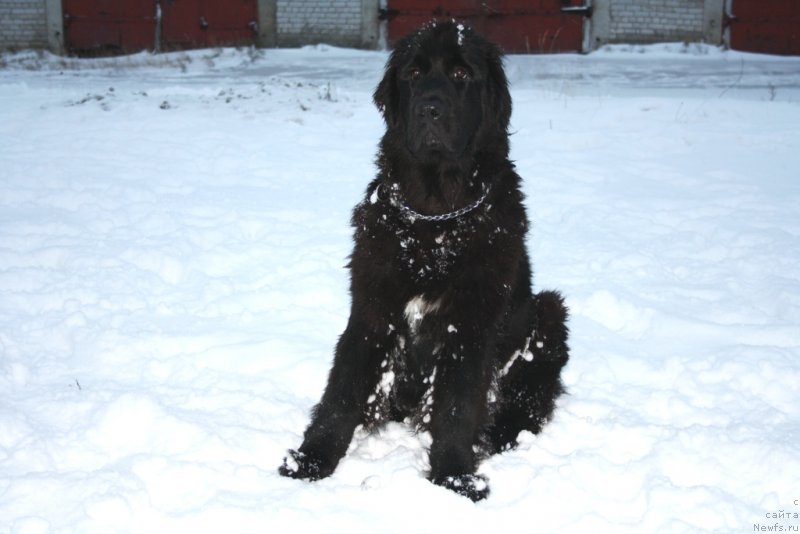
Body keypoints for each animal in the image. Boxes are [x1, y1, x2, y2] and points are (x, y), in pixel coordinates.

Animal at [282, 17, 568, 502]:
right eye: (414, 74)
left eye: (461, 74)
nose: (429, 110)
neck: (435, 219)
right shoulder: (371, 310)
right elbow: (342, 392)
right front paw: (310, 460)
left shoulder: (470, 325)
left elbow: (457, 407)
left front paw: (454, 477)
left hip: (549, 310)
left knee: (525, 406)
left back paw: (495, 439)